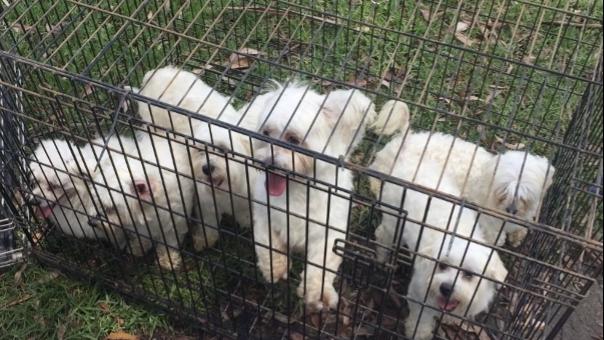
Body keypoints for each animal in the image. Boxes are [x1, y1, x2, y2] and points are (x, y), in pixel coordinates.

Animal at [88, 131, 197, 270]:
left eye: (111, 208)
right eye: (97, 202)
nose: (91, 222)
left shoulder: (174, 222)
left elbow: (169, 242)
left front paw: (167, 260)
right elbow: (143, 237)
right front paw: (138, 247)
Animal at [370, 101, 556, 247]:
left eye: (526, 194)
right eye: (503, 191)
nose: (511, 210)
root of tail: (407, 138)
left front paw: (518, 236)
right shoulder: (487, 219)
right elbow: (493, 237)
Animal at [370, 151, 508, 338]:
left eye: (469, 275)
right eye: (442, 265)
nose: (446, 288)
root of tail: (407, 162)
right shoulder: (419, 295)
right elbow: (421, 319)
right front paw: (419, 333)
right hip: (394, 220)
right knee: (383, 234)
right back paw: (382, 257)